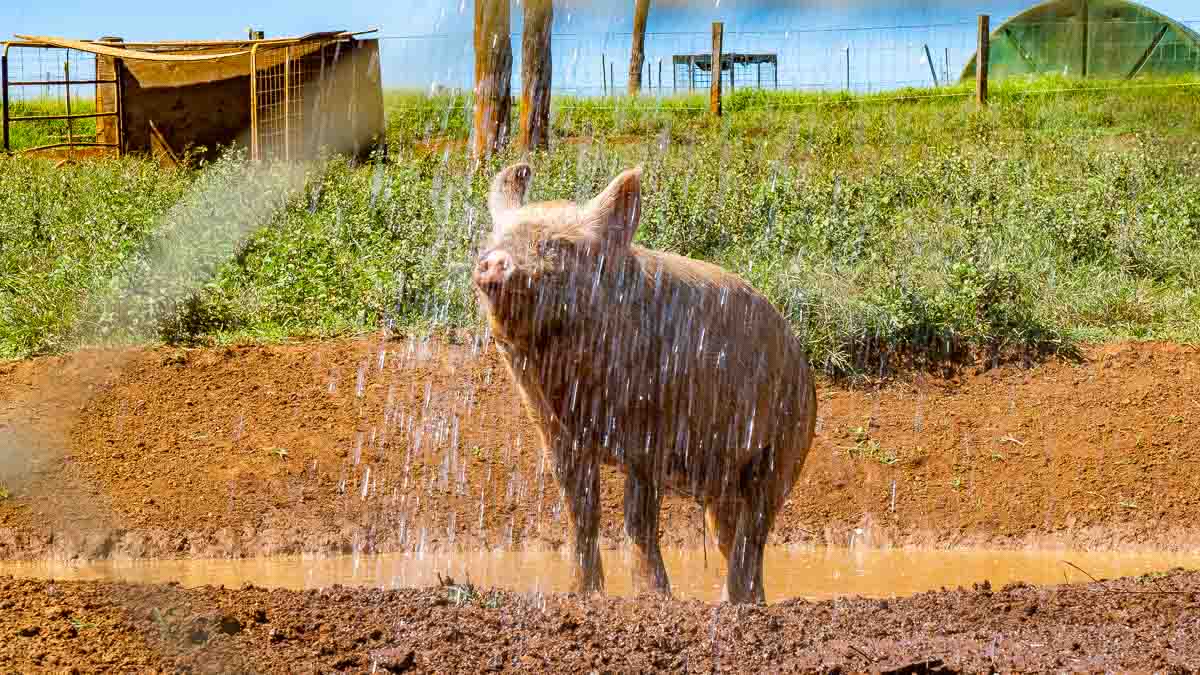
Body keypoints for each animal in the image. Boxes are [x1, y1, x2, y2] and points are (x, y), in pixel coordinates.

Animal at [472, 163, 820, 605]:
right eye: (492, 242)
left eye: (558, 246)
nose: (493, 261)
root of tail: (804, 366)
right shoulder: (553, 432)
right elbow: (579, 510)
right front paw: (582, 594)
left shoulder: (653, 427)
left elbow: (637, 515)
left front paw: (652, 597)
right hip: (725, 480)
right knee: (731, 534)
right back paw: (743, 600)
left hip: (785, 444)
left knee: (755, 528)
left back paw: (735, 603)